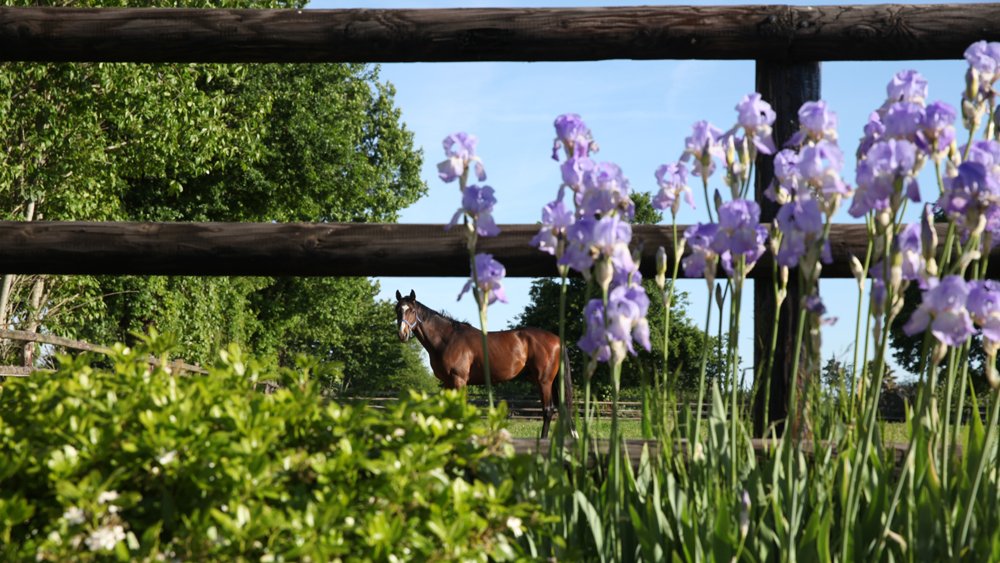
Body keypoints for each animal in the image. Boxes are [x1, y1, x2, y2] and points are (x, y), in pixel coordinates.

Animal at [394, 289, 573, 438]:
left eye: (412, 310)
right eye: (397, 310)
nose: (402, 334)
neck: (448, 340)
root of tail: (557, 339)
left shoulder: (459, 380)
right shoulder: (447, 382)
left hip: (545, 381)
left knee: (548, 411)